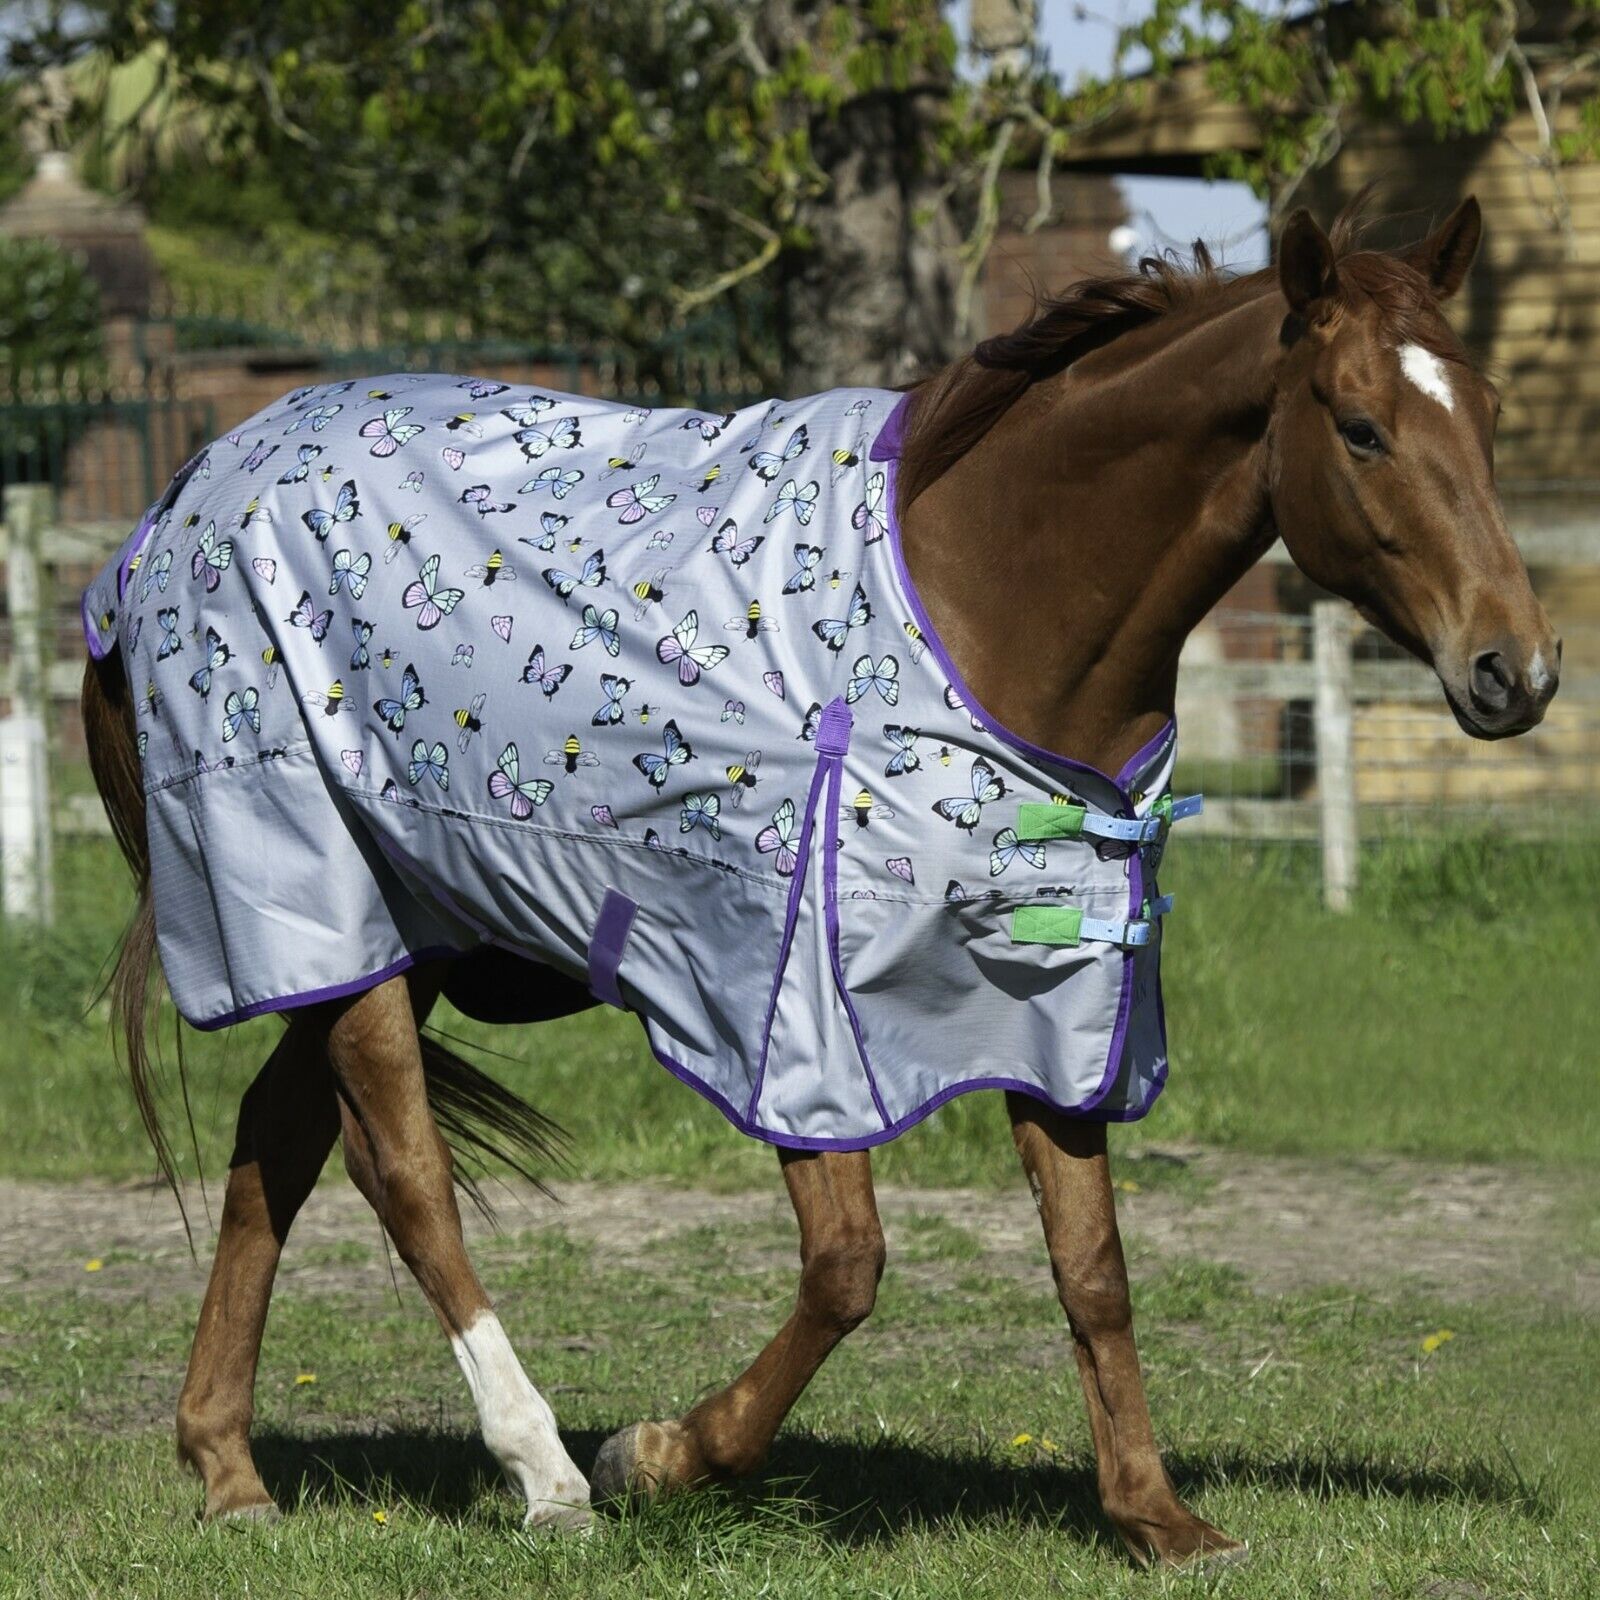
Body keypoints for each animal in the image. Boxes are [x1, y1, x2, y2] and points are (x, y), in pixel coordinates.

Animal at [80, 195, 1558, 1569]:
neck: (982, 604)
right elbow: (848, 1269)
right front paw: (659, 1456)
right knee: (405, 1174)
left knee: (277, 1143)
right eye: (1359, 427)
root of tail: (172, 509)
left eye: (1490, 412)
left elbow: (1093, 1269)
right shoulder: (785, 1004)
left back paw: (228, 1469)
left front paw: (1157, 1518)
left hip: (387, 934)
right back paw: (543, 1470)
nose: (1518, 670)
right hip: (320, 901)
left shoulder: (1062, 995)